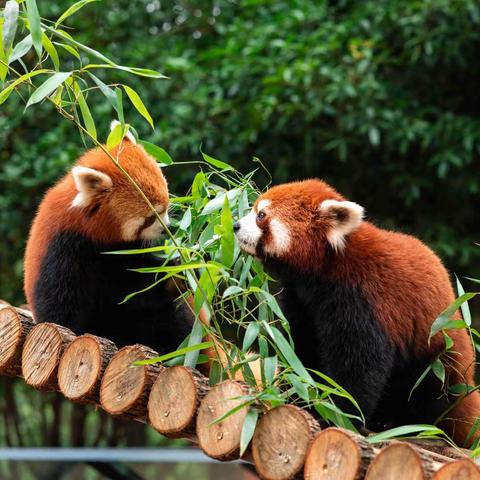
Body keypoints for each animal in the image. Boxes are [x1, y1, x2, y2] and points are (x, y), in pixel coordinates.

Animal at [23, 123, 193, 352]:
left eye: (166, 207)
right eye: (150, 218)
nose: (166, 228)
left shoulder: (123, 252)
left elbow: (136, 285)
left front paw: (175, 274)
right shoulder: (62, 251)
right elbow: (60, 307)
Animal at [233, 179, 480, 446]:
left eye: (261, 215)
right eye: (254, 209)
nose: (235, 225)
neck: (324, 270)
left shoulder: (364, 301)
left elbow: (359, 368)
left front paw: (335, 413)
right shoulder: (301, 302)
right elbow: (301, 350)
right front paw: (300, 397)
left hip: (438, 359)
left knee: (428, 395)